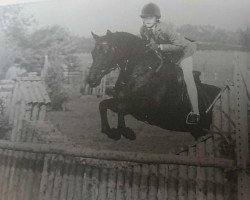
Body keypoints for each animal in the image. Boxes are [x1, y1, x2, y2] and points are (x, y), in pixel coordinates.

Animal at [87, 30, 220, 141]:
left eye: (107, 52)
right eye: (93, 53)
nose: (91, 80)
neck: (140, 72)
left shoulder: (147, 108)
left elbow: (121, 108)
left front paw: (126, 132)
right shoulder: (121, 100)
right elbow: (103, 105)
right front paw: (111, 132)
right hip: (197, 131)